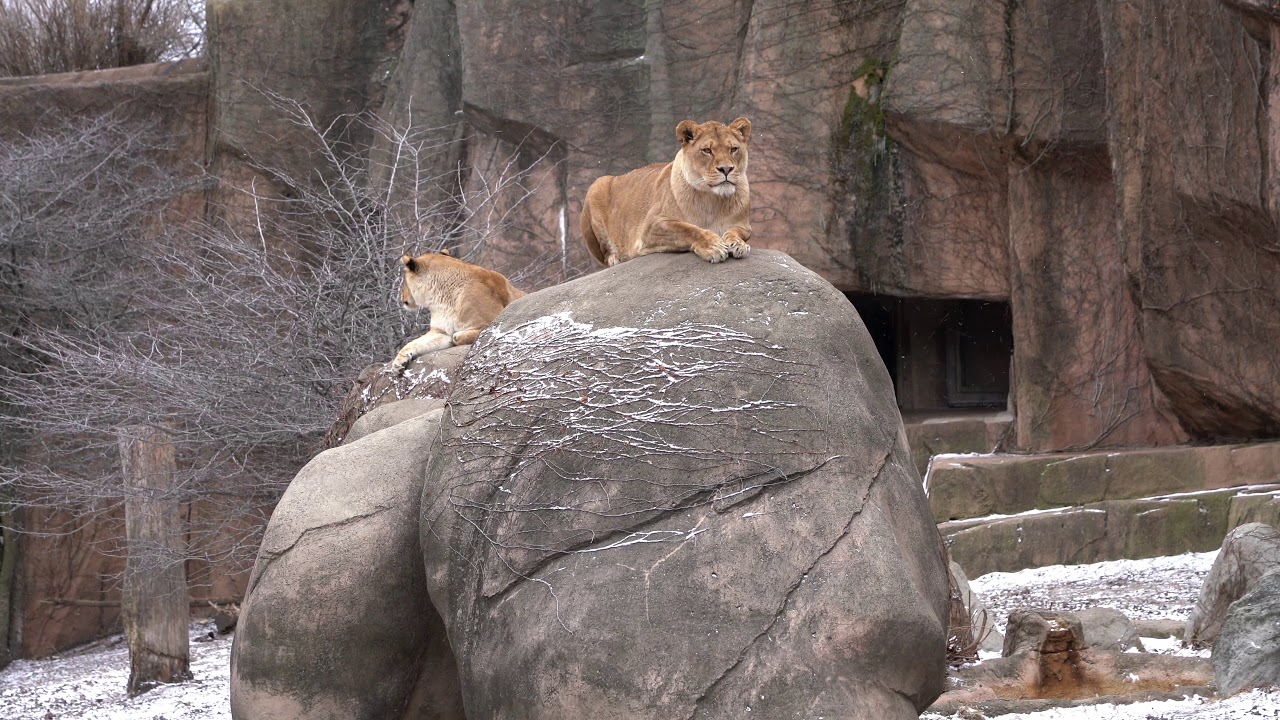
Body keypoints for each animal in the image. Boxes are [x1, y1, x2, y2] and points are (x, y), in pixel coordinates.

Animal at [389, 249, 526, 373]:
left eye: (404, 282)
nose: (401, 297)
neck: (440, 298)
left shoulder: (491, 320)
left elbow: (457, 336)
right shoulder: (440, 331)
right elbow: (414, 343)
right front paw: (398, 363)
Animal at [581, 117, 752, 266]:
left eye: (734, 149)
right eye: (707, 150)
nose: (726, 169)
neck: (713, 200)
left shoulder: (745, 226)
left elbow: (735, 231)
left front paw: (738, 244)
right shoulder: (651, 226)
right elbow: (687, 229)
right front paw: (713, 247)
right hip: (597, 185)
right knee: (605, 255)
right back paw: (615, 258)